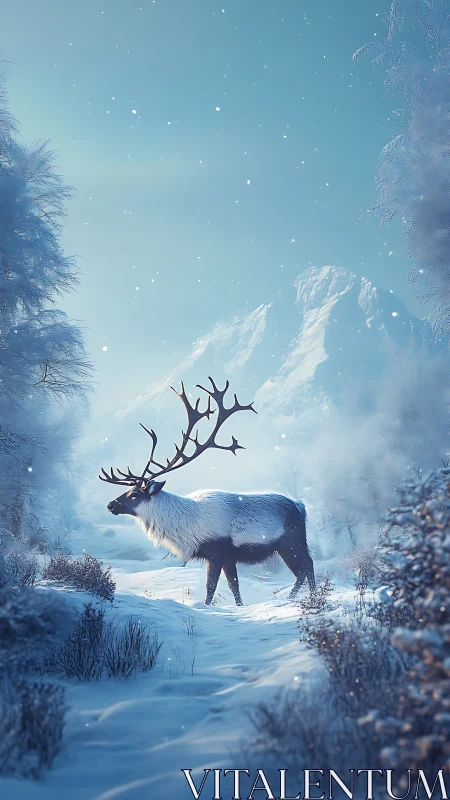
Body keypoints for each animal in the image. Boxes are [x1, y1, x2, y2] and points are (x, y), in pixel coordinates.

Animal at [100, 377, 315, 606]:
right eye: (129, 490)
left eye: (135, 495)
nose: (111, 505)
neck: (184, 526)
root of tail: (301, 507)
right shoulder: (228, 556)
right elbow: (234, 585)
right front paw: (238, 607)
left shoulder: (217, 551)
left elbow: (211, 587)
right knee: (306, 566)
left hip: (291, 541)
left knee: (306, 566)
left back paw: (297, 598)